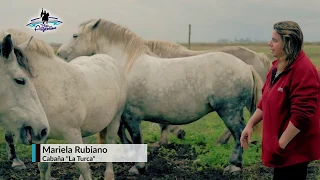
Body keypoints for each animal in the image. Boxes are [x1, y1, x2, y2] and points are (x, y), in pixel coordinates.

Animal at [1, 28, 129, 180]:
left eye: (20, 80)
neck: (51, 88)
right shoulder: (41, 137)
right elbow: (43, 166)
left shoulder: (71, 133)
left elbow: (83, 167)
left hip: (115, 118)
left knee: (110, 141)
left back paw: (109, 174)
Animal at [57, 19, 262, 175]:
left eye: (75, 36)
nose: (59, 54)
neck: (126, 65)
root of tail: (246, 66)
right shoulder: (122, 116)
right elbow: (124, 137)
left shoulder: (131, 116)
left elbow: (136, 138)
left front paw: (138, 167)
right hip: (233, 112)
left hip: (228, 111)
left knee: (239, 133)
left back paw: (234, 166)